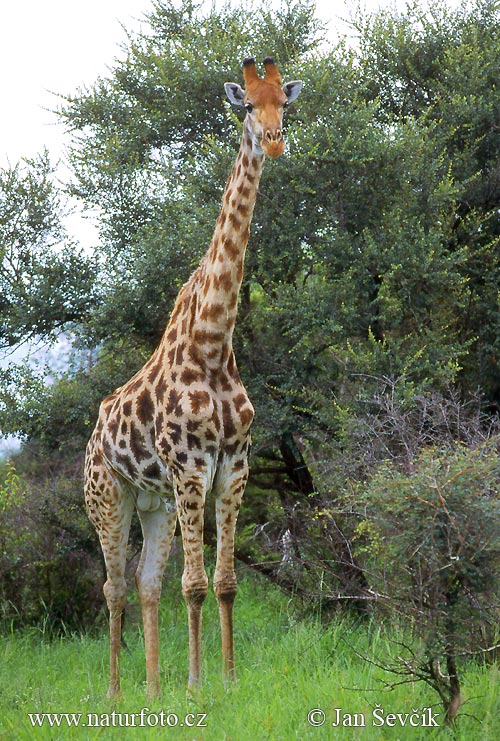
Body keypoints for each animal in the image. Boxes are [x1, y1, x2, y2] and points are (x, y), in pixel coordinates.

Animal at [84, 56, 302, 692]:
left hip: (151, 502)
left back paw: (154, 691)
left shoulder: (234, 464)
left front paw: (223, 681)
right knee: (113, 586)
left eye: (285, 102)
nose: (274, 141)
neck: (211, 342)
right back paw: (116, 695)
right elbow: (196, 585)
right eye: (247, 105)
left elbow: (224, 583)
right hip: (108, 496)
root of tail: (92, 439)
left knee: (145, 583)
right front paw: (198, 686)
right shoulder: (190, 468)